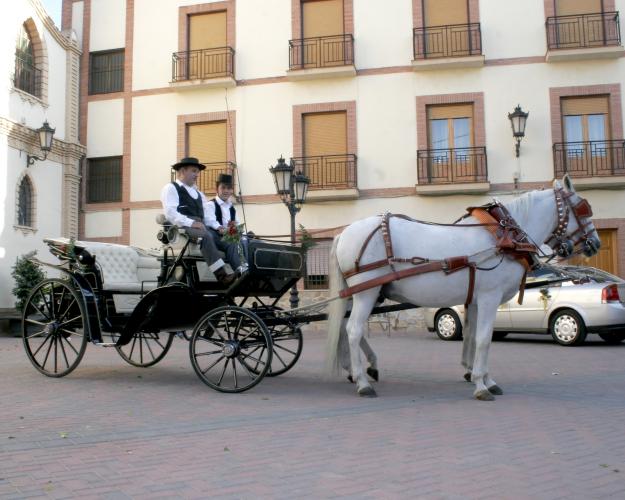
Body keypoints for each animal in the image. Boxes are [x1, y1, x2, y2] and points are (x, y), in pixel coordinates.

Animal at [324, 178, 596, 400]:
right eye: (583, 208)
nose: (594, 243)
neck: (504, 237)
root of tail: (345, 232)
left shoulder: (475, 300)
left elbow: (473, 337)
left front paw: (483, 377)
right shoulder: (489, 298)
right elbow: (485, 339)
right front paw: (482, 386)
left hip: (357, 295)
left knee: (343, 328)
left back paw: (361, 370)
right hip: (366, 293)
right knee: (353, 330)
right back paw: (362, 382)